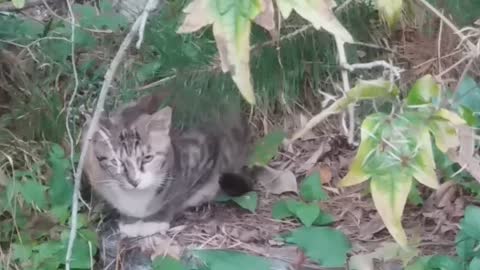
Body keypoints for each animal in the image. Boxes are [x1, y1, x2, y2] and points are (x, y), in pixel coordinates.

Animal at [83, 94, 253, 237]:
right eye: (116, 161)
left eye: (147, 158)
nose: (134, 181)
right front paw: (129, 219)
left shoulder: (202, 152)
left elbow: (176, 193)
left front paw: (154, 219)